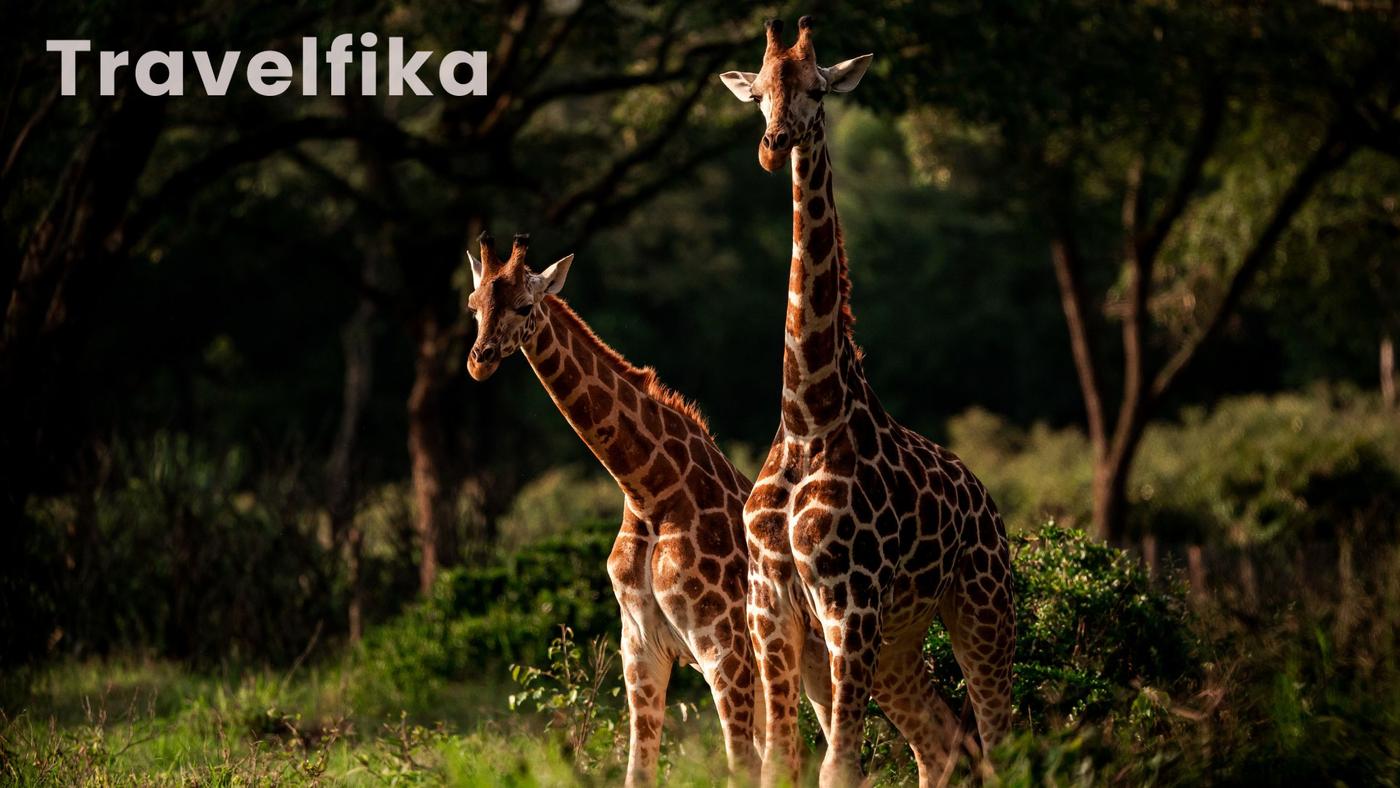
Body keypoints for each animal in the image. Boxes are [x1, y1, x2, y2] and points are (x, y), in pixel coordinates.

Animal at [464, 232, 761, 786]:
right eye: (473, 305)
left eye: (524, 305)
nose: (480, 360)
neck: (650, 492)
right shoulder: (641, 651)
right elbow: (637, 771)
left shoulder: (724, 649)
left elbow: (743, 766)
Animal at [718, 18, 1016, 787]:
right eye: (758, 93)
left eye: (818, 89)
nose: (774, 145)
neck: (807, 415)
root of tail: (987, 501)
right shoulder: (771, 606)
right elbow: (779, 762)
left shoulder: (848, 603)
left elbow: (839, 767)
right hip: (901, 640)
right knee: (941, 741)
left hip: (981, 608)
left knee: (999, 738)